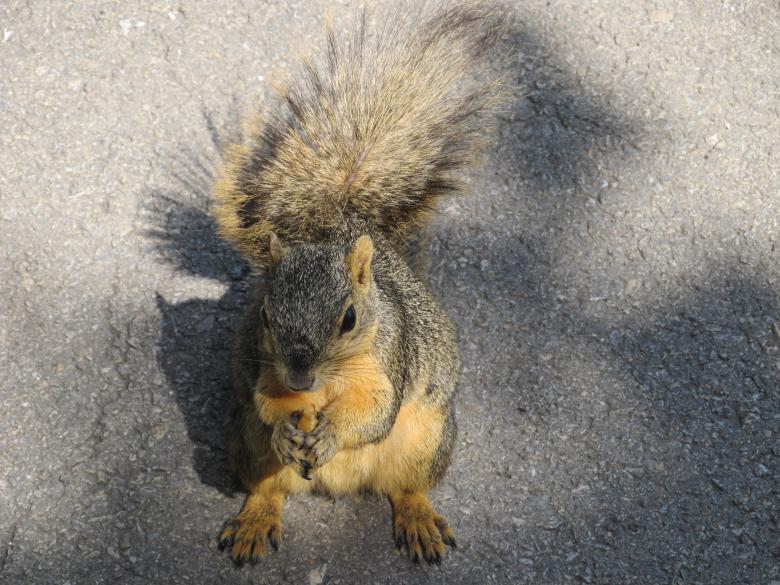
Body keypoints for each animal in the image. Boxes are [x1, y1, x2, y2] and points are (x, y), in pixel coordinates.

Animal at [211, 1, 505, 566]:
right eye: (264, 315)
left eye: (349, 318)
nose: (301, 376)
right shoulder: (266, 370)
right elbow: (268, 402)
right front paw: (287, 430)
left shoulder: (389, 362)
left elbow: (374, 412)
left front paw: (332, 434)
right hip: (242, 438)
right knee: (265, 486)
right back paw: (256, 518)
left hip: (427, 439)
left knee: (406, 486)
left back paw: (417, 520)